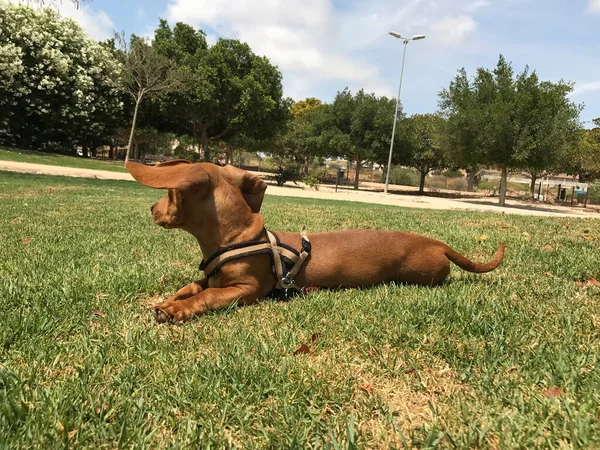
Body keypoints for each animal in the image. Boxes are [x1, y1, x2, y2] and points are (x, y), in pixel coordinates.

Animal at [127, 160, 506, 322]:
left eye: (171, 192)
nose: (151, 208)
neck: (235, 237)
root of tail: (438, 244)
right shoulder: (212, 277)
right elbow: (192, 287)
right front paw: (168, 301)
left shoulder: (246, 290)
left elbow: (205, 297)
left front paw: (177, 310)